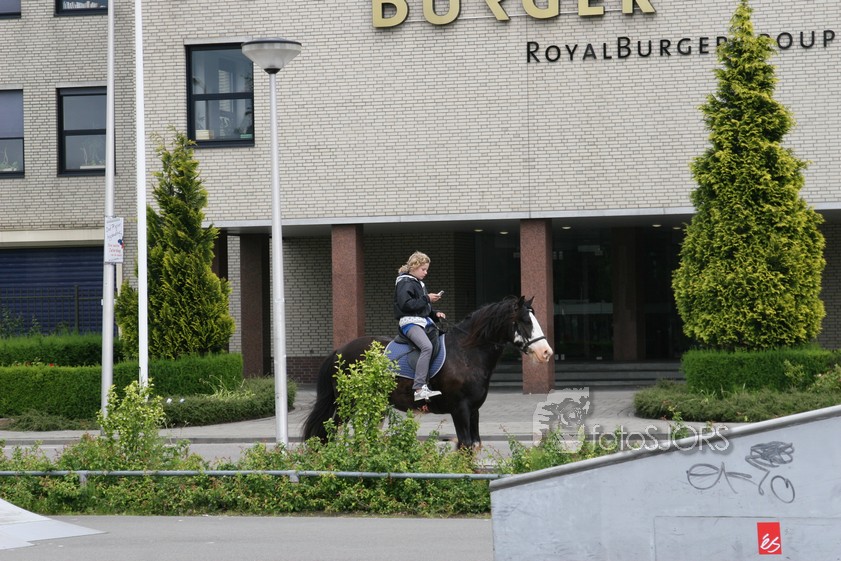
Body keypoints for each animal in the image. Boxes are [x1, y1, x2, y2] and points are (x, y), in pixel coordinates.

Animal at [303, 295, 554, 449]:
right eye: (524, 321)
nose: (546, 352)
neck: (466, 353)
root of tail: (339, 351)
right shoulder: (460, 410)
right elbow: (464, 447)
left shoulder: (474, 411)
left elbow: (474, 446)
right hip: (348, 405)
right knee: (328, 433)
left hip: (374, 406)